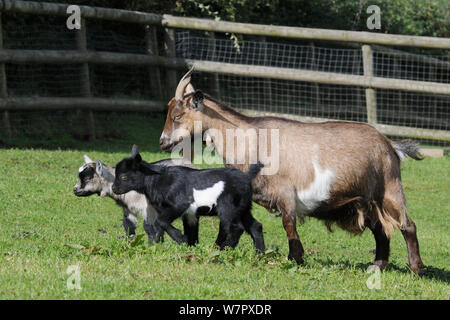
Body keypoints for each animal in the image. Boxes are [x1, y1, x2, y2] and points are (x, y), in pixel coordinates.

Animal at [159, 68, 426, 276]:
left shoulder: (285, 192)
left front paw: (294, 258)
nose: (163, 142)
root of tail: (390, 145)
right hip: (367, 200)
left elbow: (289, 224)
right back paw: (377, 265)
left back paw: (415, 269)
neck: (248, 138)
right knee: (381, 230)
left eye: (178, 115)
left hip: (389, 188)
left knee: (408, 226)